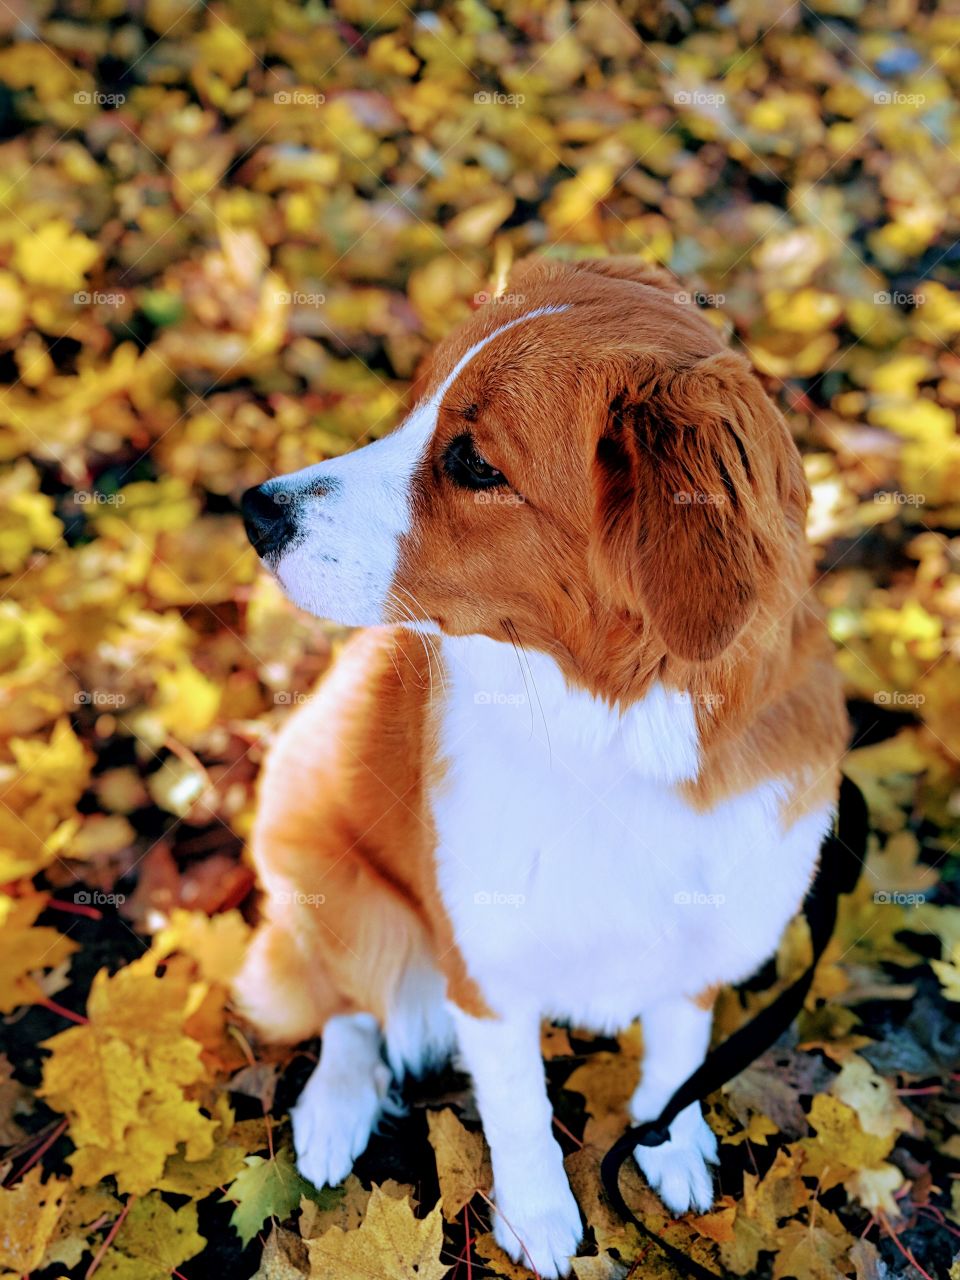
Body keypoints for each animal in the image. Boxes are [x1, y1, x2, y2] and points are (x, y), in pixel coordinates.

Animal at [232, 254, 849, 1274]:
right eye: (414, 405)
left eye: (475, 464)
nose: (255, 510)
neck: (610, 741)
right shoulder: (485, 968)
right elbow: (518, 1106)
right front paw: (539, 1217)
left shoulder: (708, 932)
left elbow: (679, 1047)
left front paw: (667, 1141)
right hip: (341, 886)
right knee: (349, 1005)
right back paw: (332, 1111)